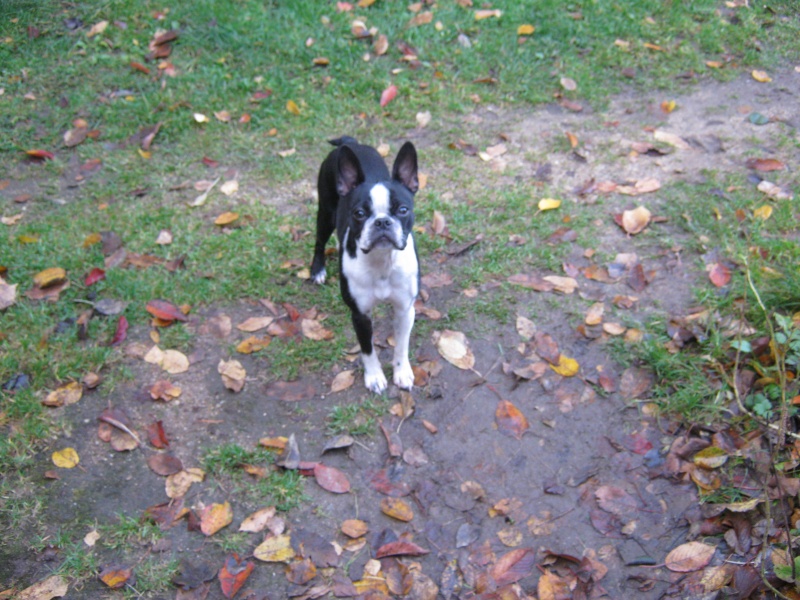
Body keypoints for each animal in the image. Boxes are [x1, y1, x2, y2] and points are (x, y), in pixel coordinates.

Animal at [310, 136, 418, 394]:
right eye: (359, 213)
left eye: (403, 210)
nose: (382, 222)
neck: (382, 262)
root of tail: (350, 141)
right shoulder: (360, 314)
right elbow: (367, 349)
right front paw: (375, 377)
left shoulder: (405, 309)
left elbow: (402, 344)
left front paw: (402, 372)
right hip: (325, 212)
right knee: (319, 241)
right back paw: (317, 270)